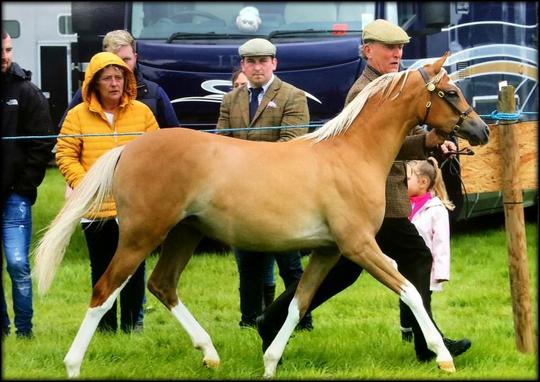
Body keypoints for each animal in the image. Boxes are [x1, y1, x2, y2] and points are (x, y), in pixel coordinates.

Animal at [32, 51, 490, 380]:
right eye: (450, 92)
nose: (481, 131)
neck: (350, 154)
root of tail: (129, 147)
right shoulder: (358, 245)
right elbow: (409, 288)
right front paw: (444, 356)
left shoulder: (328, 251)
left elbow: (298, 304)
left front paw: (270, 362)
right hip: (141, 235)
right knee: (104, 291)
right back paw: (73, 366)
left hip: (184, 234)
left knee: (162, 285)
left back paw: (210, 354)